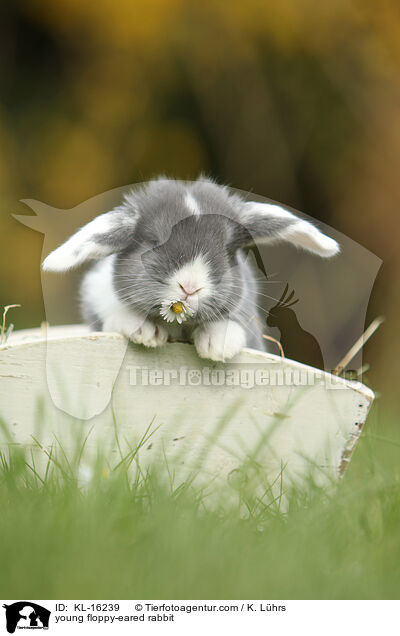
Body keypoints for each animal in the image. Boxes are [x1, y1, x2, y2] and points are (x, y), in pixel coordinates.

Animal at [42, 176, 340, 360]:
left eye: (227, 249)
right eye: (154, 241)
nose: (190, 286)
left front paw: (217, 346)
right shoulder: (96, 291)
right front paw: (146, 333)